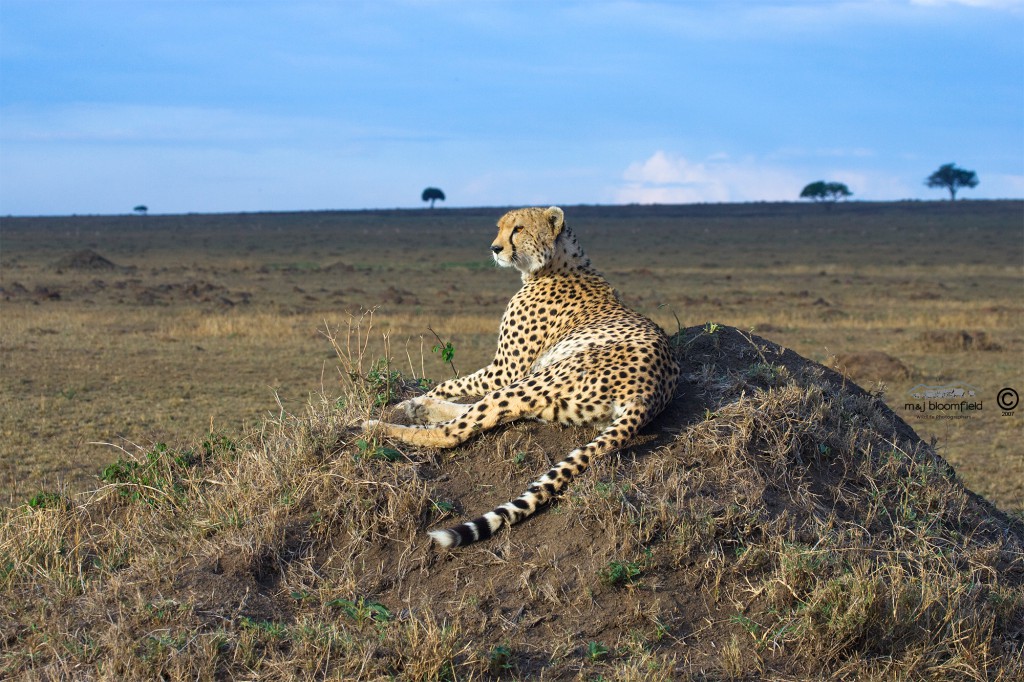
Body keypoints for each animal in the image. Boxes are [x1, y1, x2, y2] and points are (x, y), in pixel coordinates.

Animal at [368, 204, 679, 544]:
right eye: (500, 227)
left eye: (518, 229)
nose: (494, 248)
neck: (555, 262)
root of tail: (650, 395)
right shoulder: (509, 373)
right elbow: (458, 387)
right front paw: (413, 401)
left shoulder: (506, 370)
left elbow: (452, 382)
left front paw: (406, 403)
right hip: (549, 399)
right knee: (483, 412)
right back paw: (417, 409)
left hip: (538, 379)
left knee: (453, 431)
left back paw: (380, 425)